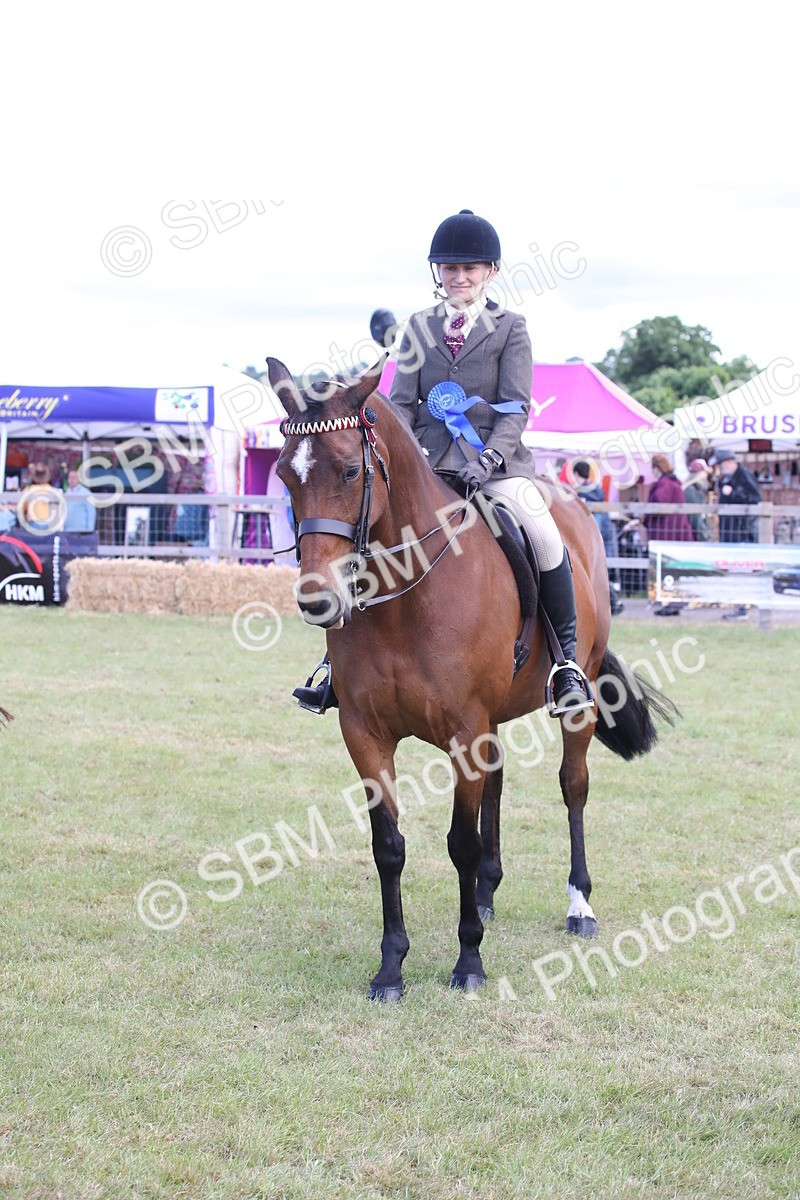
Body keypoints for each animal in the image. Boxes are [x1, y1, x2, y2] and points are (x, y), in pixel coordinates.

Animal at [268, 356, 677, 1001]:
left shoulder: (464, 731)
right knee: (499, 781)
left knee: (573, 786)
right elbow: (389, 847)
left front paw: (468, 963)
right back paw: (486, 894)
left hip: (575, 700)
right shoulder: (365, 735)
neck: (405, 598)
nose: (318, 600)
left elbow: (460, 842)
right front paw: (391, 967)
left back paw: (579, 905)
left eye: (351, 470)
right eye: (286, 474)